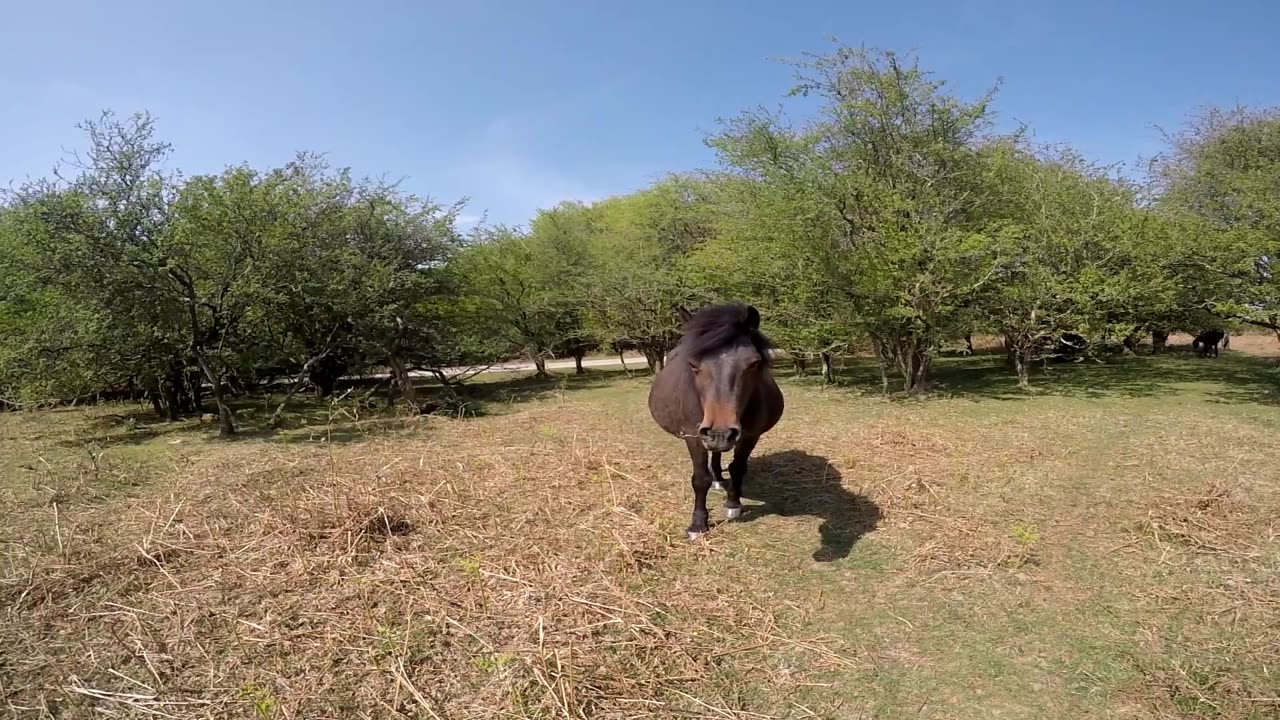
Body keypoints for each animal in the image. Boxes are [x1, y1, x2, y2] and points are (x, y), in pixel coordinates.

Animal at [645, 299, 783, 535]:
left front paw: (733, 504)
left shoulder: (750, 436)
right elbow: (701, 479)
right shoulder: (693, 436)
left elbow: (738, 468)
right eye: (693, 364)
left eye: (754, 363)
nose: (719, 432)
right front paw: (698, 524)